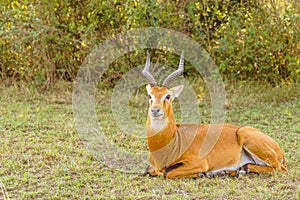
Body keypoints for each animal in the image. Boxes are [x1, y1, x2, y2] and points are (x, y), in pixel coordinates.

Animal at [143, 50, 288, 179]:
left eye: (167, 96)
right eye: (150, 95)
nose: (155, 110)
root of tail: (279, 150)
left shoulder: (199, 163)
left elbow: (167, 172)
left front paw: (202, 174)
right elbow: (149, 171)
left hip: (248, 137)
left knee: (279, 168)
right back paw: (229, 172)